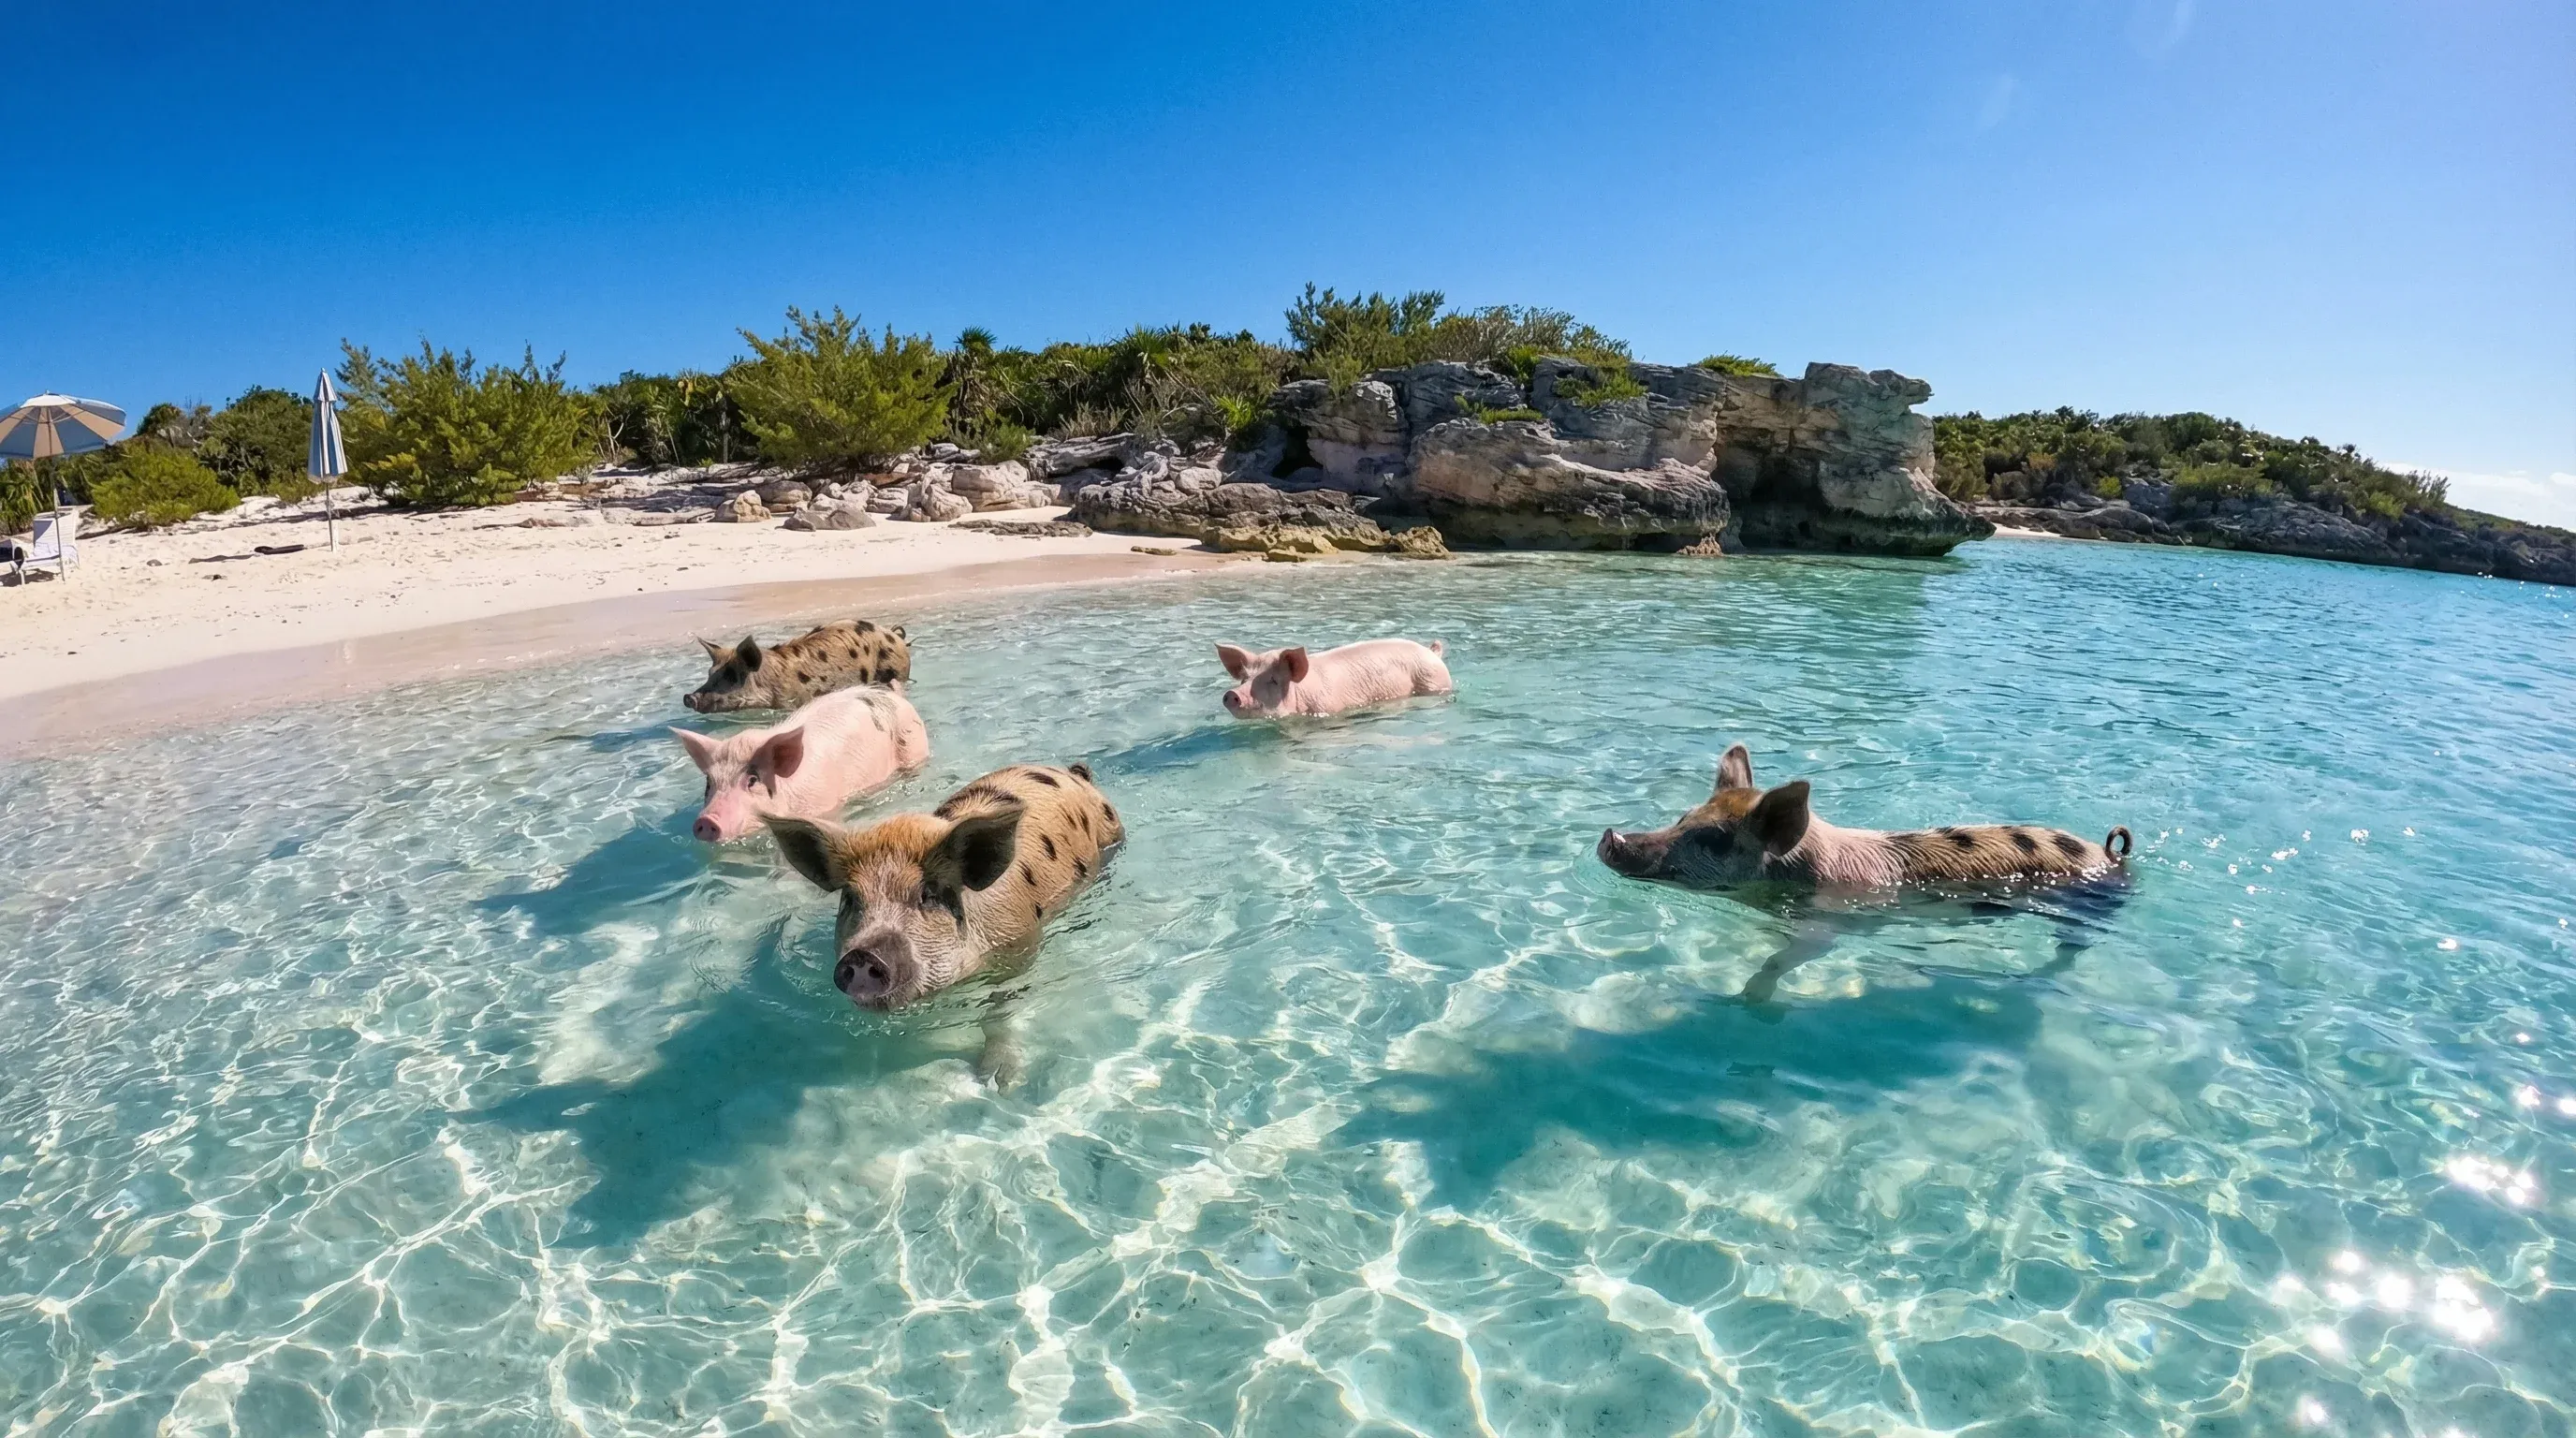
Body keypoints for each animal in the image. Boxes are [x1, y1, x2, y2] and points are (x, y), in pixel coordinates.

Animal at [767, 763, 1124, 1084]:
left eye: (928, 895)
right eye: (851, 899)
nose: (862, 954)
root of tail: (1073, 773)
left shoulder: (1019, 949)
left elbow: (1000, 1011)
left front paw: (998, 1081)